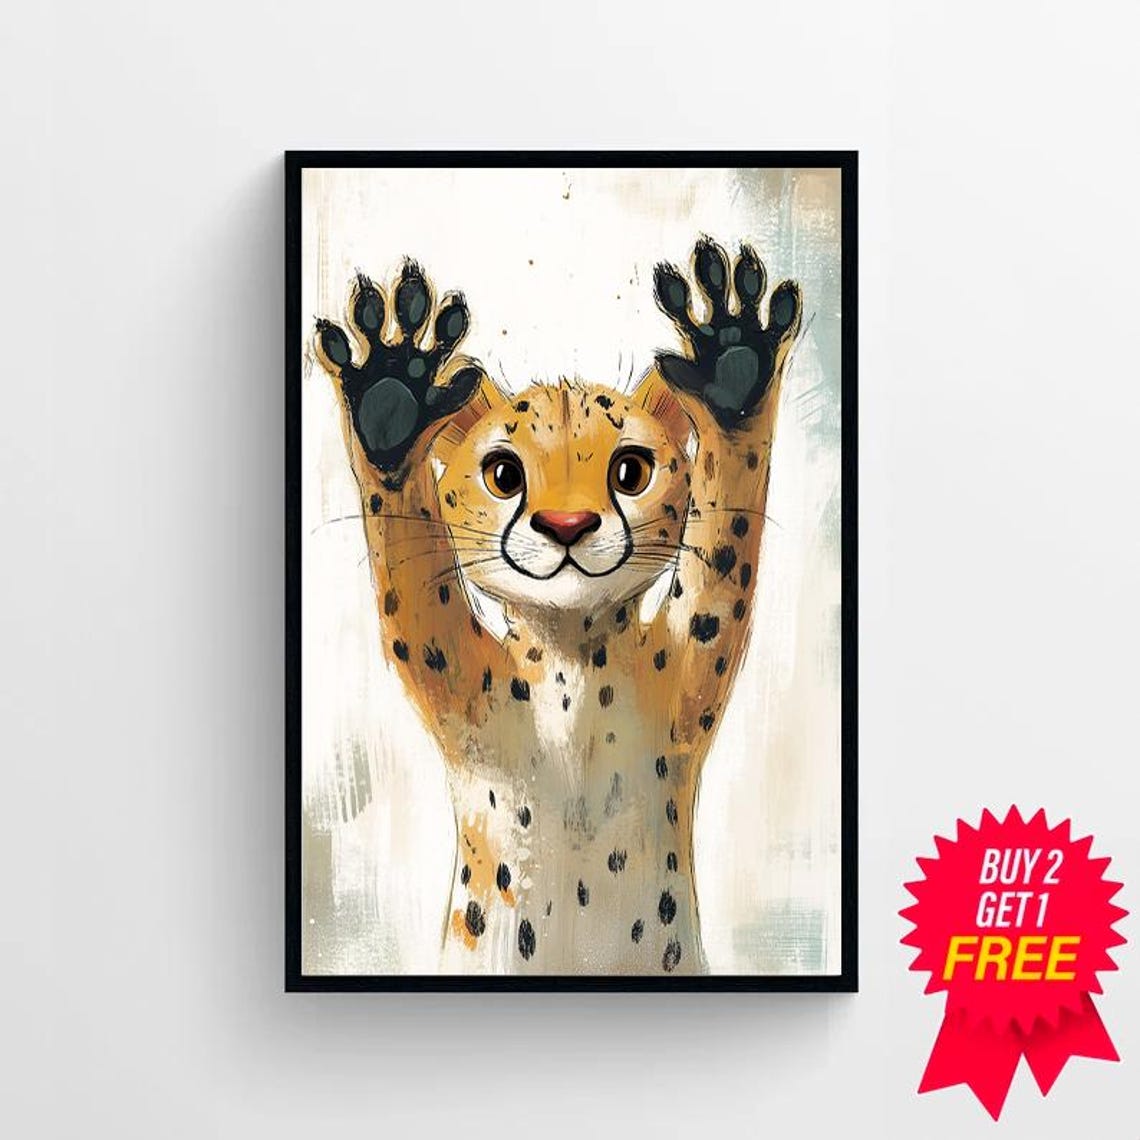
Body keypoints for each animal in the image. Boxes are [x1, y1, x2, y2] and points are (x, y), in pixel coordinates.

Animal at [313, 237, 802, 975]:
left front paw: (736, 364)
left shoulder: (693, 668)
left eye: (631, 471)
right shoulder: (452, 675)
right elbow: (414, 577)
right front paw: (389, 398)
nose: (567, 525)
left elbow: (723, 551)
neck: (574, 655)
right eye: (503, 474)